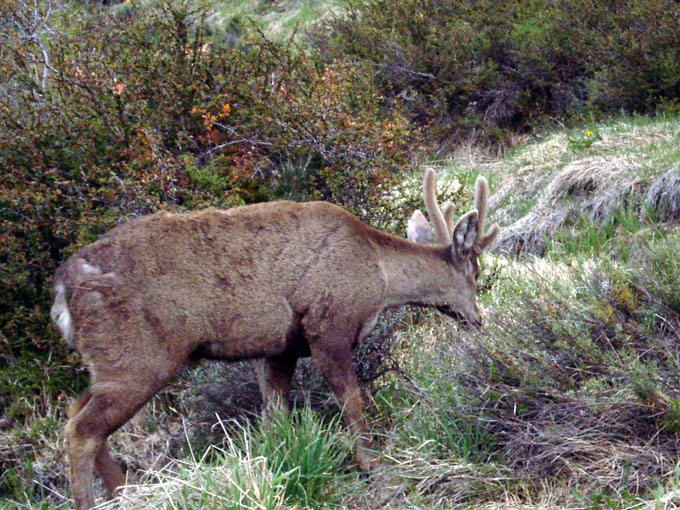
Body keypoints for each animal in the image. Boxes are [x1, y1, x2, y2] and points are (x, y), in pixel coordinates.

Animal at [51, 168, 500, 510]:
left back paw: (125, 494)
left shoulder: (280, 347)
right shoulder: (328, 324)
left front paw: (277, 466)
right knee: (81, 430)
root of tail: (62, 288)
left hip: (108, 362)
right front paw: (371, 465)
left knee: (77, 410)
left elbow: (274, 416)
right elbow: (351, 399)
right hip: (139, 357)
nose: (479, 321)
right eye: (476, 272)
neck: (378, 272)